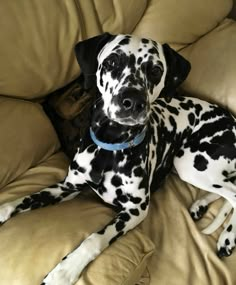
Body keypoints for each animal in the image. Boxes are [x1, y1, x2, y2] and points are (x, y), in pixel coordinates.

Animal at [0, 32, 236, 282]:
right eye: (112, 62)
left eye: (155, 70)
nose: (132, 101)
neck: (109, 147)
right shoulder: (67, 187)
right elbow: (26, 198)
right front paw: (4, 209)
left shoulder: (135, 210)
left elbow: (94, 239)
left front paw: (65, 271)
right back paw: (200, 205)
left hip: (191, 162)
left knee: (233, 193)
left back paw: (227, 238)